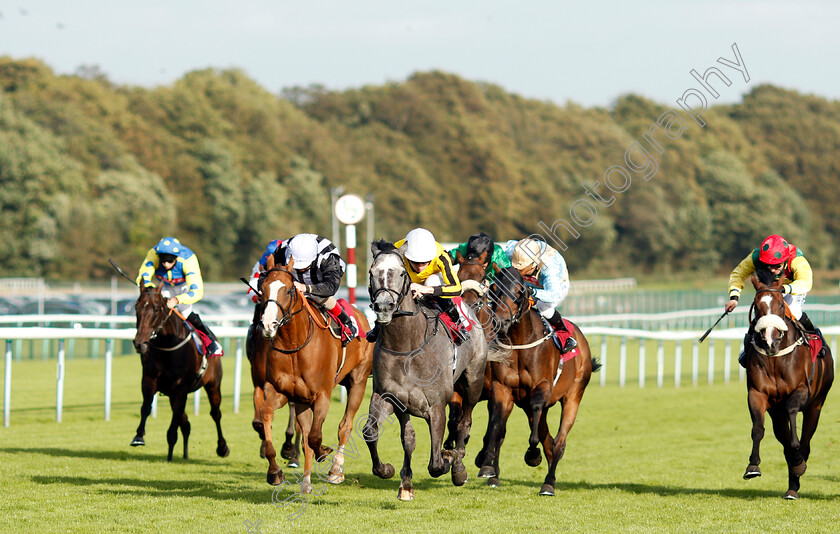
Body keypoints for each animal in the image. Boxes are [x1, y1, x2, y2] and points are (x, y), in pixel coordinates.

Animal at [129, 286, 228, 462]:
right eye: (136, 308)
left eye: (156, 309)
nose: (140, 343)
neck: (167, 345)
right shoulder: (149, 380)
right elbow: (146, 407)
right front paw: (139, 436)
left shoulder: (180, 389)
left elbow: (174, 424)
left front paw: (169, 455)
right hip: (172, 395)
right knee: (186, 424)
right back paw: (185, 454)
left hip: (213, 384)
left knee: (216, 414)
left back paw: (222, 448)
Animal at [256, 258, 374, 494]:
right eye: (262, 289)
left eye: (289, 289)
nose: (268, 325)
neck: (294, 343)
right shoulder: (284, 392)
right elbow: (267, 415)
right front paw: (274, 471)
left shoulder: (322, 395)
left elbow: (315, 436)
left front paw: (325, 453)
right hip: (303, 400)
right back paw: (306, 483)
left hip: (358, 381)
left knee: (344, 426)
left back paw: (336, 470)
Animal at [362, 243, 492, 502]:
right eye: (372, 272)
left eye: (402, 273)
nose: (384, 306)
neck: (406, 345)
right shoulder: (389, 398)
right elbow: (381, 433)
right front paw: (395, 475)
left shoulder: (436, 407)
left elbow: (436, 463)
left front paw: (450, 458)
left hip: (473, 381)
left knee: (465, 423)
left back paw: (459, 468)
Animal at [480, 268, 596, 498]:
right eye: (494, 288)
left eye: (519, 291)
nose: (502, 322)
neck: (519, 342)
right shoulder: (502, 388)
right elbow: (496, 424)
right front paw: (487, 466)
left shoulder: (542, 386)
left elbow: (534, 418)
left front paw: (533, 454)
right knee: (548, 440)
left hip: (573, 395)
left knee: (559, 441)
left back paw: (548, 484)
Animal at [744, 272, 832, 502]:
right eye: (757, 306)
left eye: (780, 306)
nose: (770, 341)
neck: (775, 357)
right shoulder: (757, 394)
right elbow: (758, 429)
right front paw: (753, 466)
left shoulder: (801, 391)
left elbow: (793, 418)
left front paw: (798, 461)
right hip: (777, 413)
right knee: (783, 441)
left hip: (816, 406)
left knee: (806, 442)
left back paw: (795, 479)